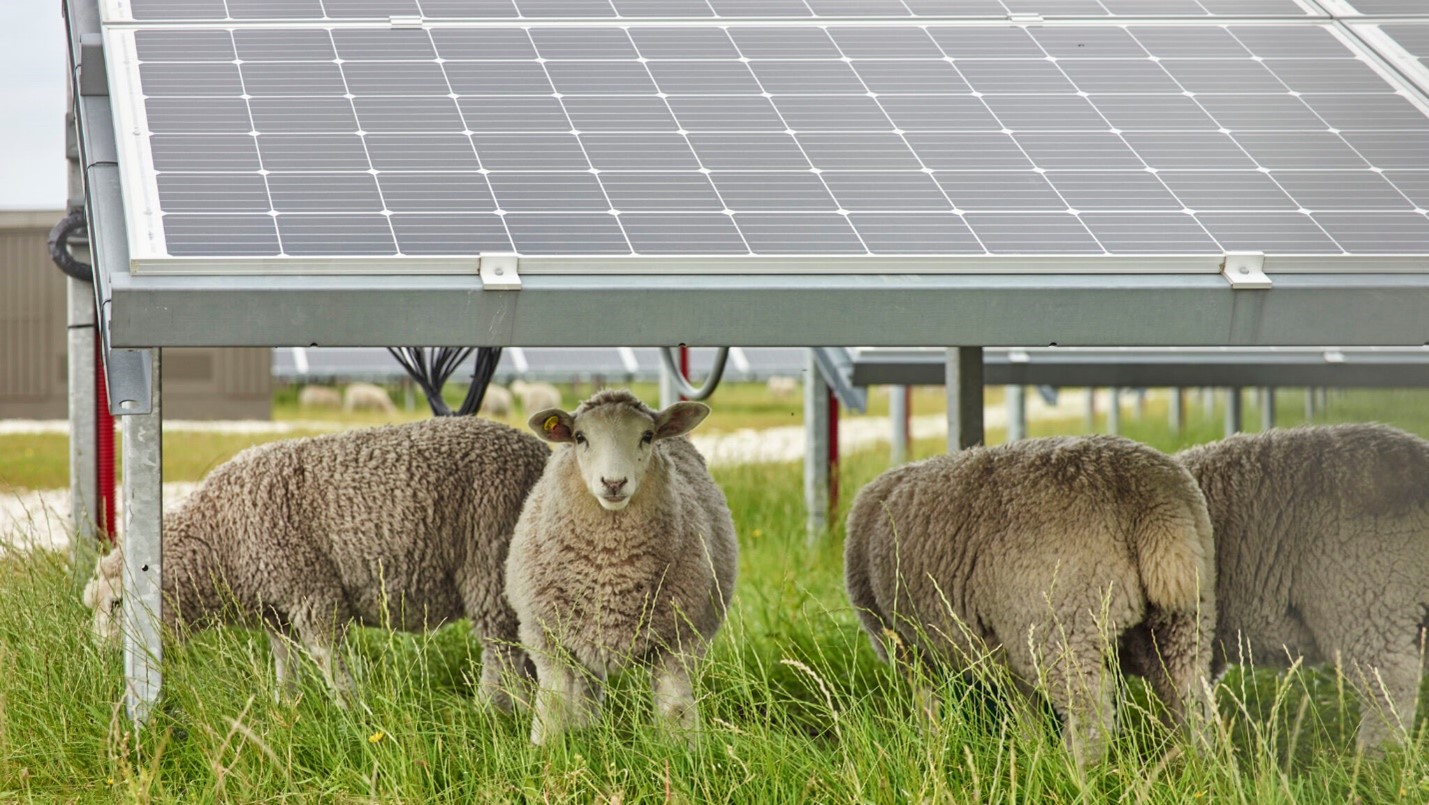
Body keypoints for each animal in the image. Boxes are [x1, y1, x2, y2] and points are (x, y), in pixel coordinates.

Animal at [81, 415, 551, 710]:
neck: (220, 537)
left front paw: (350, 712)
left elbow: (329, 661)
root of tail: (540, 454)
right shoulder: (275, 608)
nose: (100, 661)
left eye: (118, 604)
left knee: (501, 651)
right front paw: (284, 707)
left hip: (490, 561)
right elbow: (284, 661)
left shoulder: (312, 591)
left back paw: (490, 711)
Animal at [505, 389, 738, 744]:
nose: (613, 483)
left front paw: (683, 751)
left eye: (647, 436)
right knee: (586, 688)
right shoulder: (546, 637)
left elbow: (675, 710)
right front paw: (545, 750)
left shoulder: (679, 641)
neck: (611, 569)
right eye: (580, 437)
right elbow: (553, 705)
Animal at [846, 435, 1215, 762]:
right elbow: (1024, 708)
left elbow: (928, 703)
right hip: (1183, 620)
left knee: (1090, 720)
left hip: (1062, 627)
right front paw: (1030, 750)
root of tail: (1151, 496)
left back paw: (1075, 773)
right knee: (1191, 701)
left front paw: (932, 746)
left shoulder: (904, 647)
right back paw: (1195, 766)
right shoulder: (1005, 651)